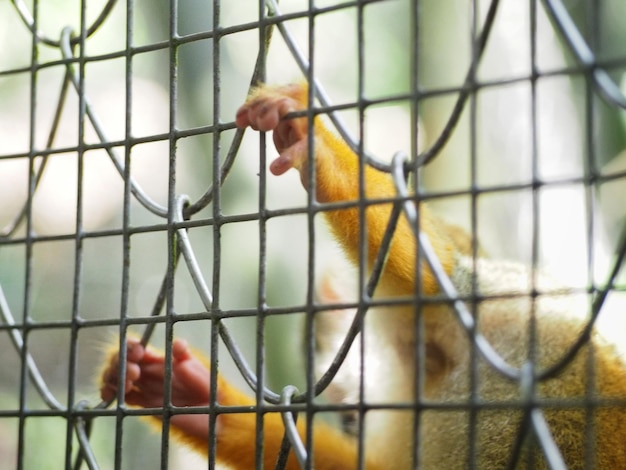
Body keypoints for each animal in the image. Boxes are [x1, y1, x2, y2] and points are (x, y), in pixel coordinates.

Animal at [100, 82, 624, 468]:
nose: (346, 408)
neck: (426, 358)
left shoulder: (504, 317)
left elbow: (432, 278)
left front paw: (316, 148)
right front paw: (188, 397)